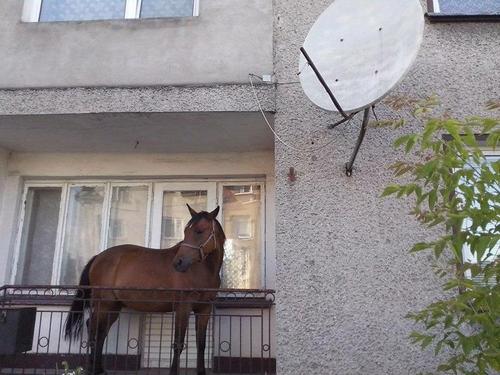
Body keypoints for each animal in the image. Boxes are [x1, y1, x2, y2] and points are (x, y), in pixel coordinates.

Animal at [64, 206, 225, 375]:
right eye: (186, 232)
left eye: (199, 231)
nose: (178, 263)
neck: (202, 269)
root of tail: (97, 257)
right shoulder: (183, 307)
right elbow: (178, 344)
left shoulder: (204, 309)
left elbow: (201, 344)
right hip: (104, 304)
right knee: (93, 328)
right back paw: (92, 368)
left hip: (113, 307)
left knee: (100, 332)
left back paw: (99, 369)